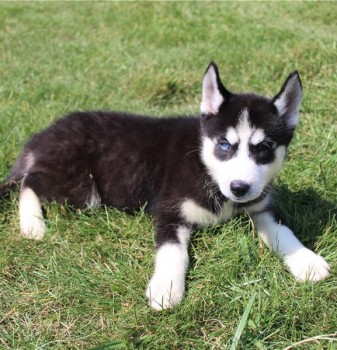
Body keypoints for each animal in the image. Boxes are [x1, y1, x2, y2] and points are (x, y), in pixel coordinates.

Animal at [1, 62, 328, 308]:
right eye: (224, 145)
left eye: (264, 149)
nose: (239, 187)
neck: (204, 167)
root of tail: (42, 136)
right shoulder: (169, 210)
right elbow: (173, 251)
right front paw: (167, 287)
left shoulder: (260, 205)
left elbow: (282, 230)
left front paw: (306, 261)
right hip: (83, 189)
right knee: (28, 182)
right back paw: (33, 224)